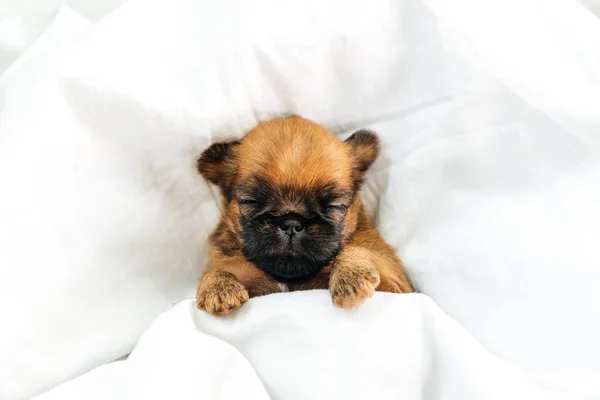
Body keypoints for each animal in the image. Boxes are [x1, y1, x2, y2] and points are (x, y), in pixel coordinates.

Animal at [196, 115, 412, 316]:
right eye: (250, 202)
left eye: (334, 206)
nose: (291, 223)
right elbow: (215, 269)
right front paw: (218, 287)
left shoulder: (395, 286)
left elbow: (353, 249)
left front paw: (351, 275)